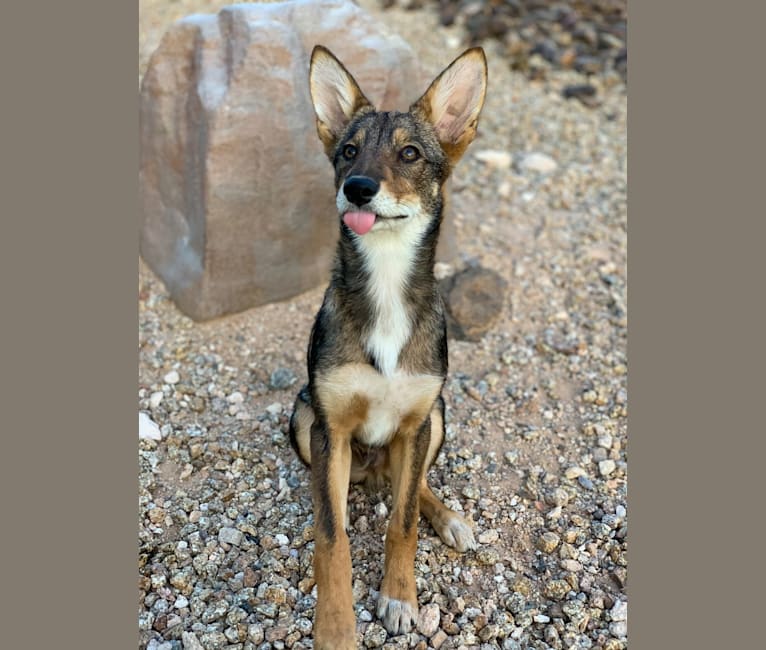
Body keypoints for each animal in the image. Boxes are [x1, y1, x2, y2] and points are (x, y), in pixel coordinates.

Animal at [292, 43, 488, 644]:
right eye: (348, 151)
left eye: (409, 153)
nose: (357, 187)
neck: (384, 282)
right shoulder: (329, 429)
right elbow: (332, 536)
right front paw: (335, 628)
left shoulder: (419, 420)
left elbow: (402, 522)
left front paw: (400, 598)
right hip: (301, 417)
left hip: (437, 418)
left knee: (414, 482)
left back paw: (447, 517)